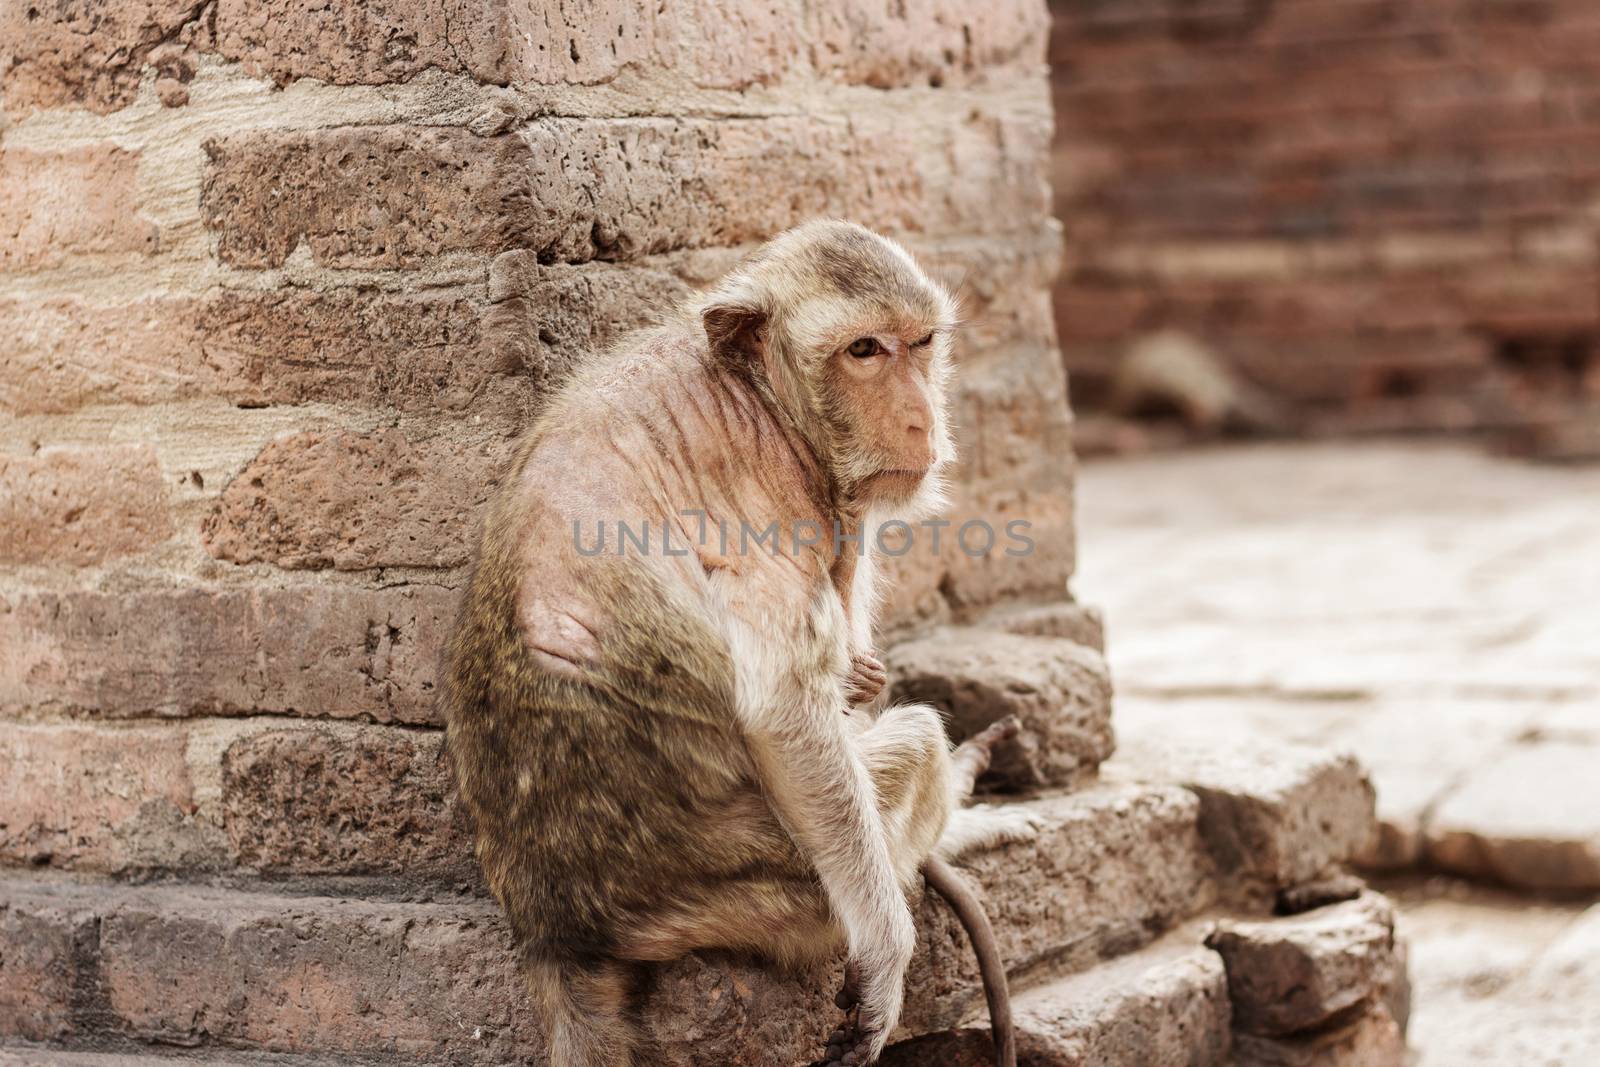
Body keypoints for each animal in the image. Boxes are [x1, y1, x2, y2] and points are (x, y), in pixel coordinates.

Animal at [441, 220, 1036, 1062]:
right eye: (864, 350)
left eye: (919, 344)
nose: (923, 420)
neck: (761, 393)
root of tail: (555, 932)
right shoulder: (769, 510)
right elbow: (785, 712)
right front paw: (889, 952)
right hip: (770, 890)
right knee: (913, 742)